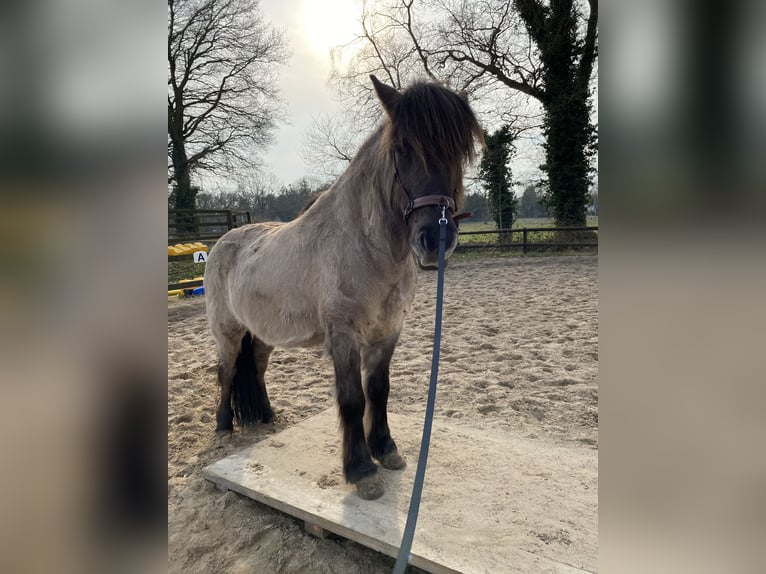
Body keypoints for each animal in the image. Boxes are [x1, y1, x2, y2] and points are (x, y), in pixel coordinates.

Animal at [204, 75, 484, 500]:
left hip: (263, 335)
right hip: (228, 332)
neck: (366, 245)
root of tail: (222, 242)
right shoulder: (344, 334)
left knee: (257, 367)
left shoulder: (387, 332)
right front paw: (361, 471)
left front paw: (386, 450)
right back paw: (222, 426)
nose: (435, 240)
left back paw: (266, 417)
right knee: (226, 371)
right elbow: (352, 399)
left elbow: (379, 391)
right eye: (402, 149)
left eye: (460, 152)